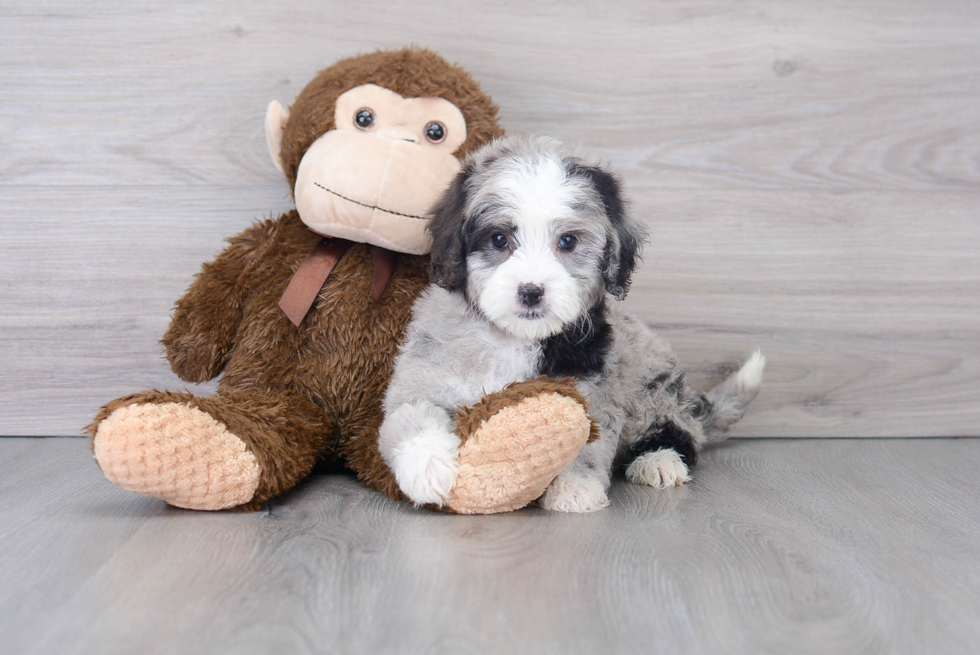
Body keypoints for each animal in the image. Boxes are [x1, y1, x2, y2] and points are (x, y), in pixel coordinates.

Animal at [378, 137, 760, 512]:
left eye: (568, 241)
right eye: (499, 239)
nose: (531, 291)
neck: (515, 339)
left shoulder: (593, 387)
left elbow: (588, 441)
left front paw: (575, 486)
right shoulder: (425, 372)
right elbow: (411, 413)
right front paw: (427, 467)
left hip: (654, 385)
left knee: (679, 432)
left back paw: (659, 460)